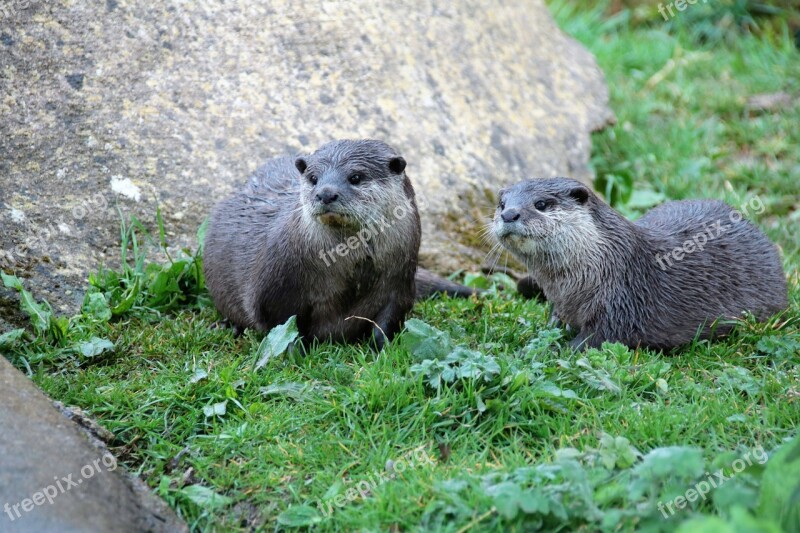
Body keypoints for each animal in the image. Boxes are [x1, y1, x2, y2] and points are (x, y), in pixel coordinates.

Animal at [203, 137, 472, 350]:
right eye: (313, 178)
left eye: (356, 177)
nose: (325, 193)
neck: (353, 272)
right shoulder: (276, 287)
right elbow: (283, 326)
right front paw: (295, 352)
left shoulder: (400, 283)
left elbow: (387, 321)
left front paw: (383, 350)